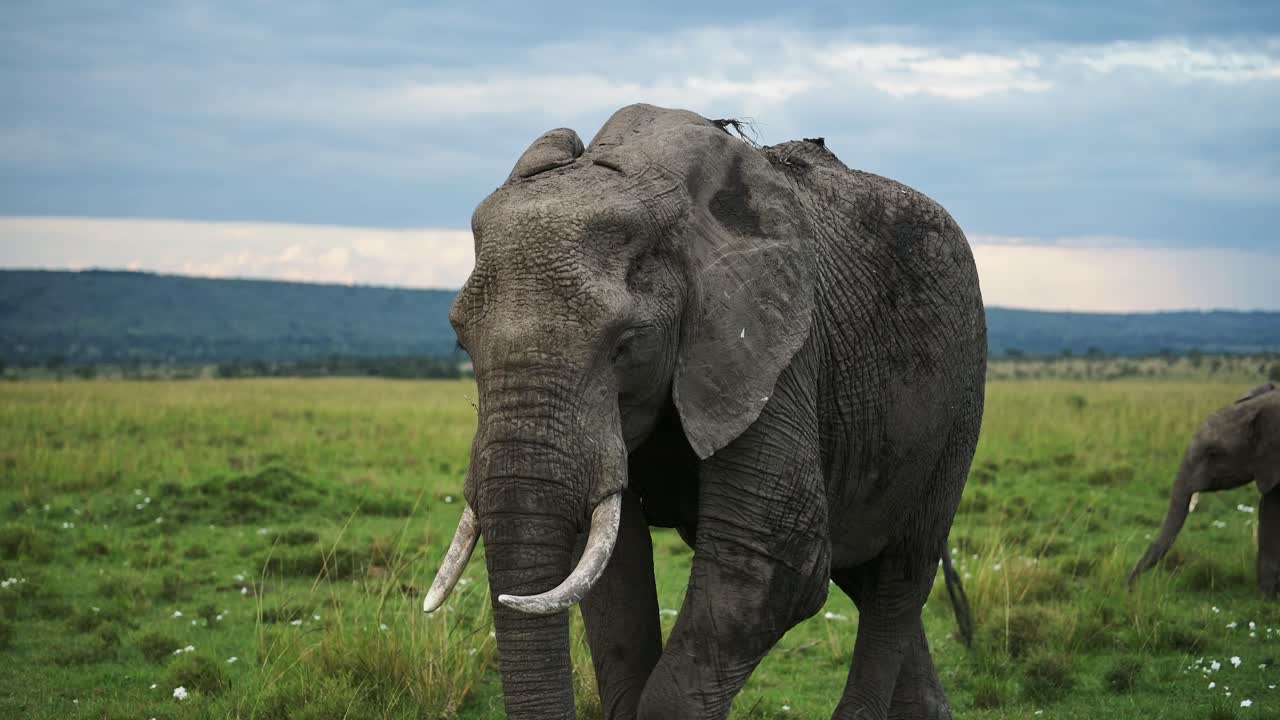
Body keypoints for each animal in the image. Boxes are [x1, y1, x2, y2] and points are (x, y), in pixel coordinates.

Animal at [422, 104, 987, 720]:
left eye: (626, 345)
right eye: (460, 340)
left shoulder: (772, 346)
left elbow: (773, 560)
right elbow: (612, 571)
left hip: (959, 402)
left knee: (898, 578)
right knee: (864, 575)